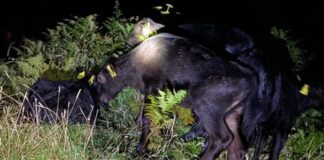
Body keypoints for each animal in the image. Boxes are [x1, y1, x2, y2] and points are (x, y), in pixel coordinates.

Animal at [95, 32, 256, 160]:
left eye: (99, 79)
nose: (100, 100)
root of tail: (249, 79)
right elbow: (142, 113)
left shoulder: (154, 86)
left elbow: (148, 116)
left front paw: (141, 148)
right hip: (232, 114)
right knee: (237, 148)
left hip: (207, 107)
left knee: (222, 138)